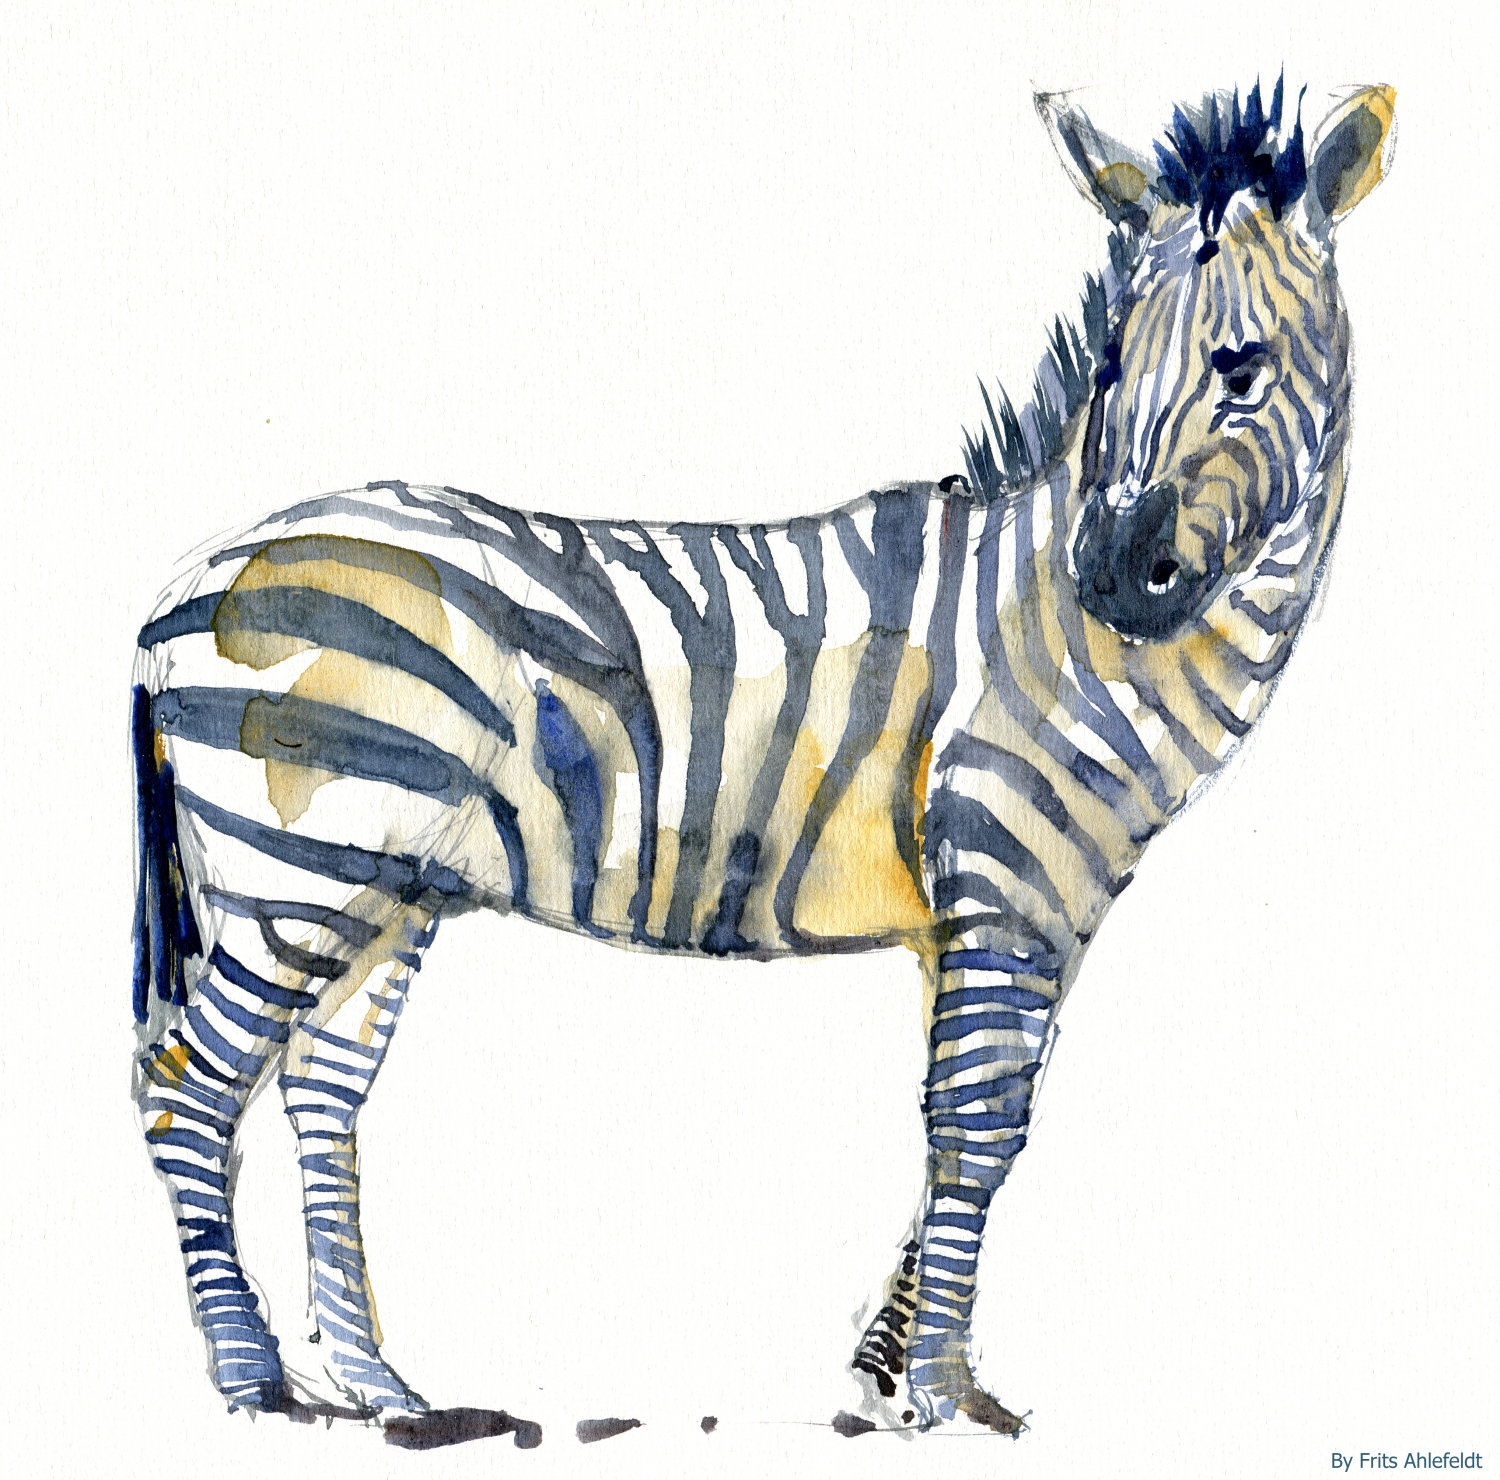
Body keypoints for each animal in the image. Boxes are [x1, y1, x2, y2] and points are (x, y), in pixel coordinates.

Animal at [130, 78, 1395, 1445]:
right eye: (1110, 364)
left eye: (1240, 369)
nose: (1113, 575)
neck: (1061, 632)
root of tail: (194, 583)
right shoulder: (1004, 887)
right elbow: (975, 1127)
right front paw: (945, 1395)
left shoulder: (1000, 915)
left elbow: (975, 1125)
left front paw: (882, 1370)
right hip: (295, 869)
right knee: (187, 1088)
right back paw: (254, 1377)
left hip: (383, 889)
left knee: (321, 1097)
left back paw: (379, 1388)